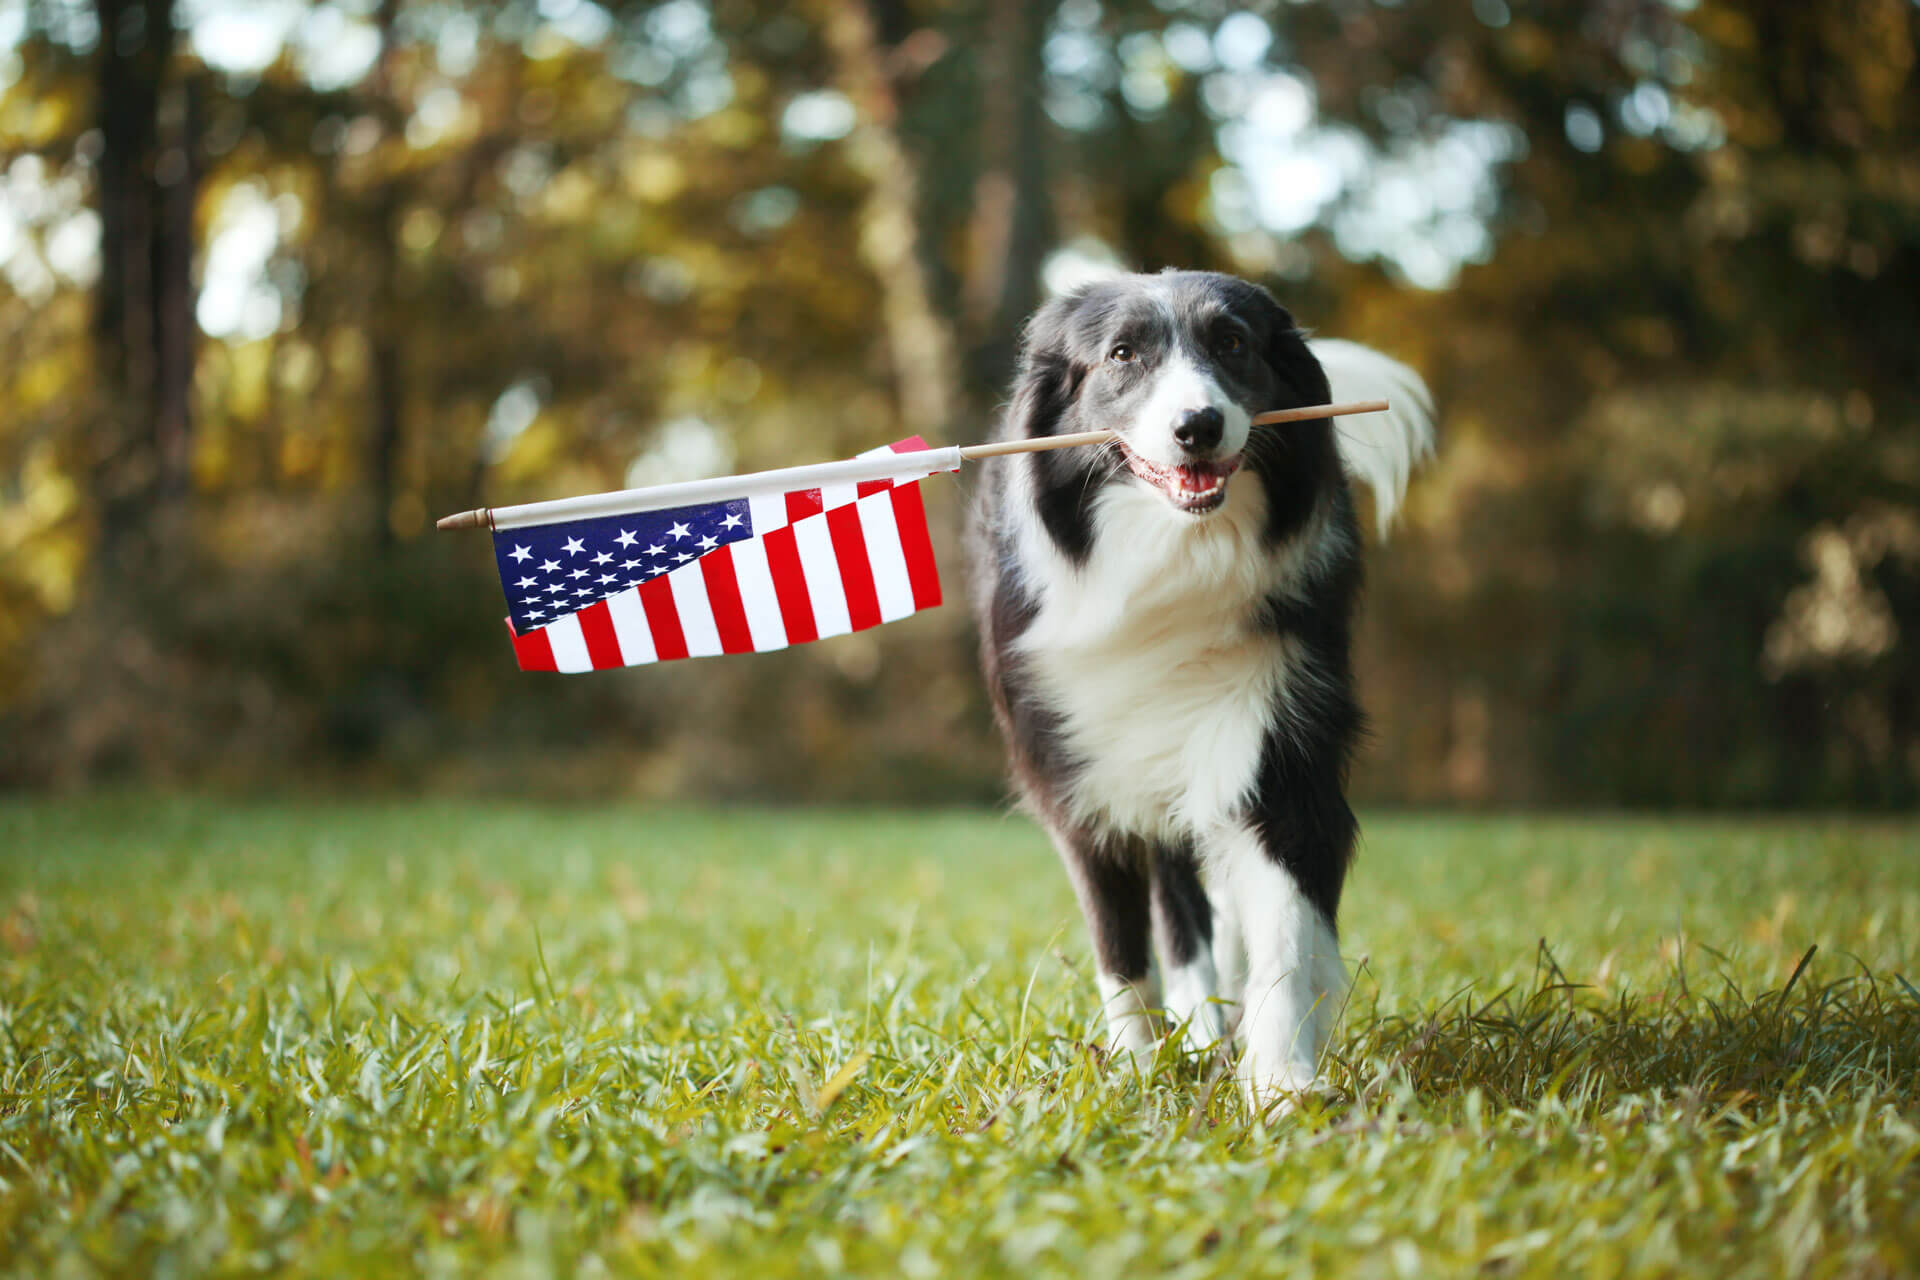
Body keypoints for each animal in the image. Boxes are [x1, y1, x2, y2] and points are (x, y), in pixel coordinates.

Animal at [967, 268, 1436, 1113]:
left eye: (1233, 344)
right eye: (1123, 354)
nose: (1198, 426)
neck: (1171, 557)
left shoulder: (1277, 746)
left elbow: (1284, 927)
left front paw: (1281, 1082)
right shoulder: (1079, 776)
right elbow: (1121, 949)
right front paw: (1137, 1068)